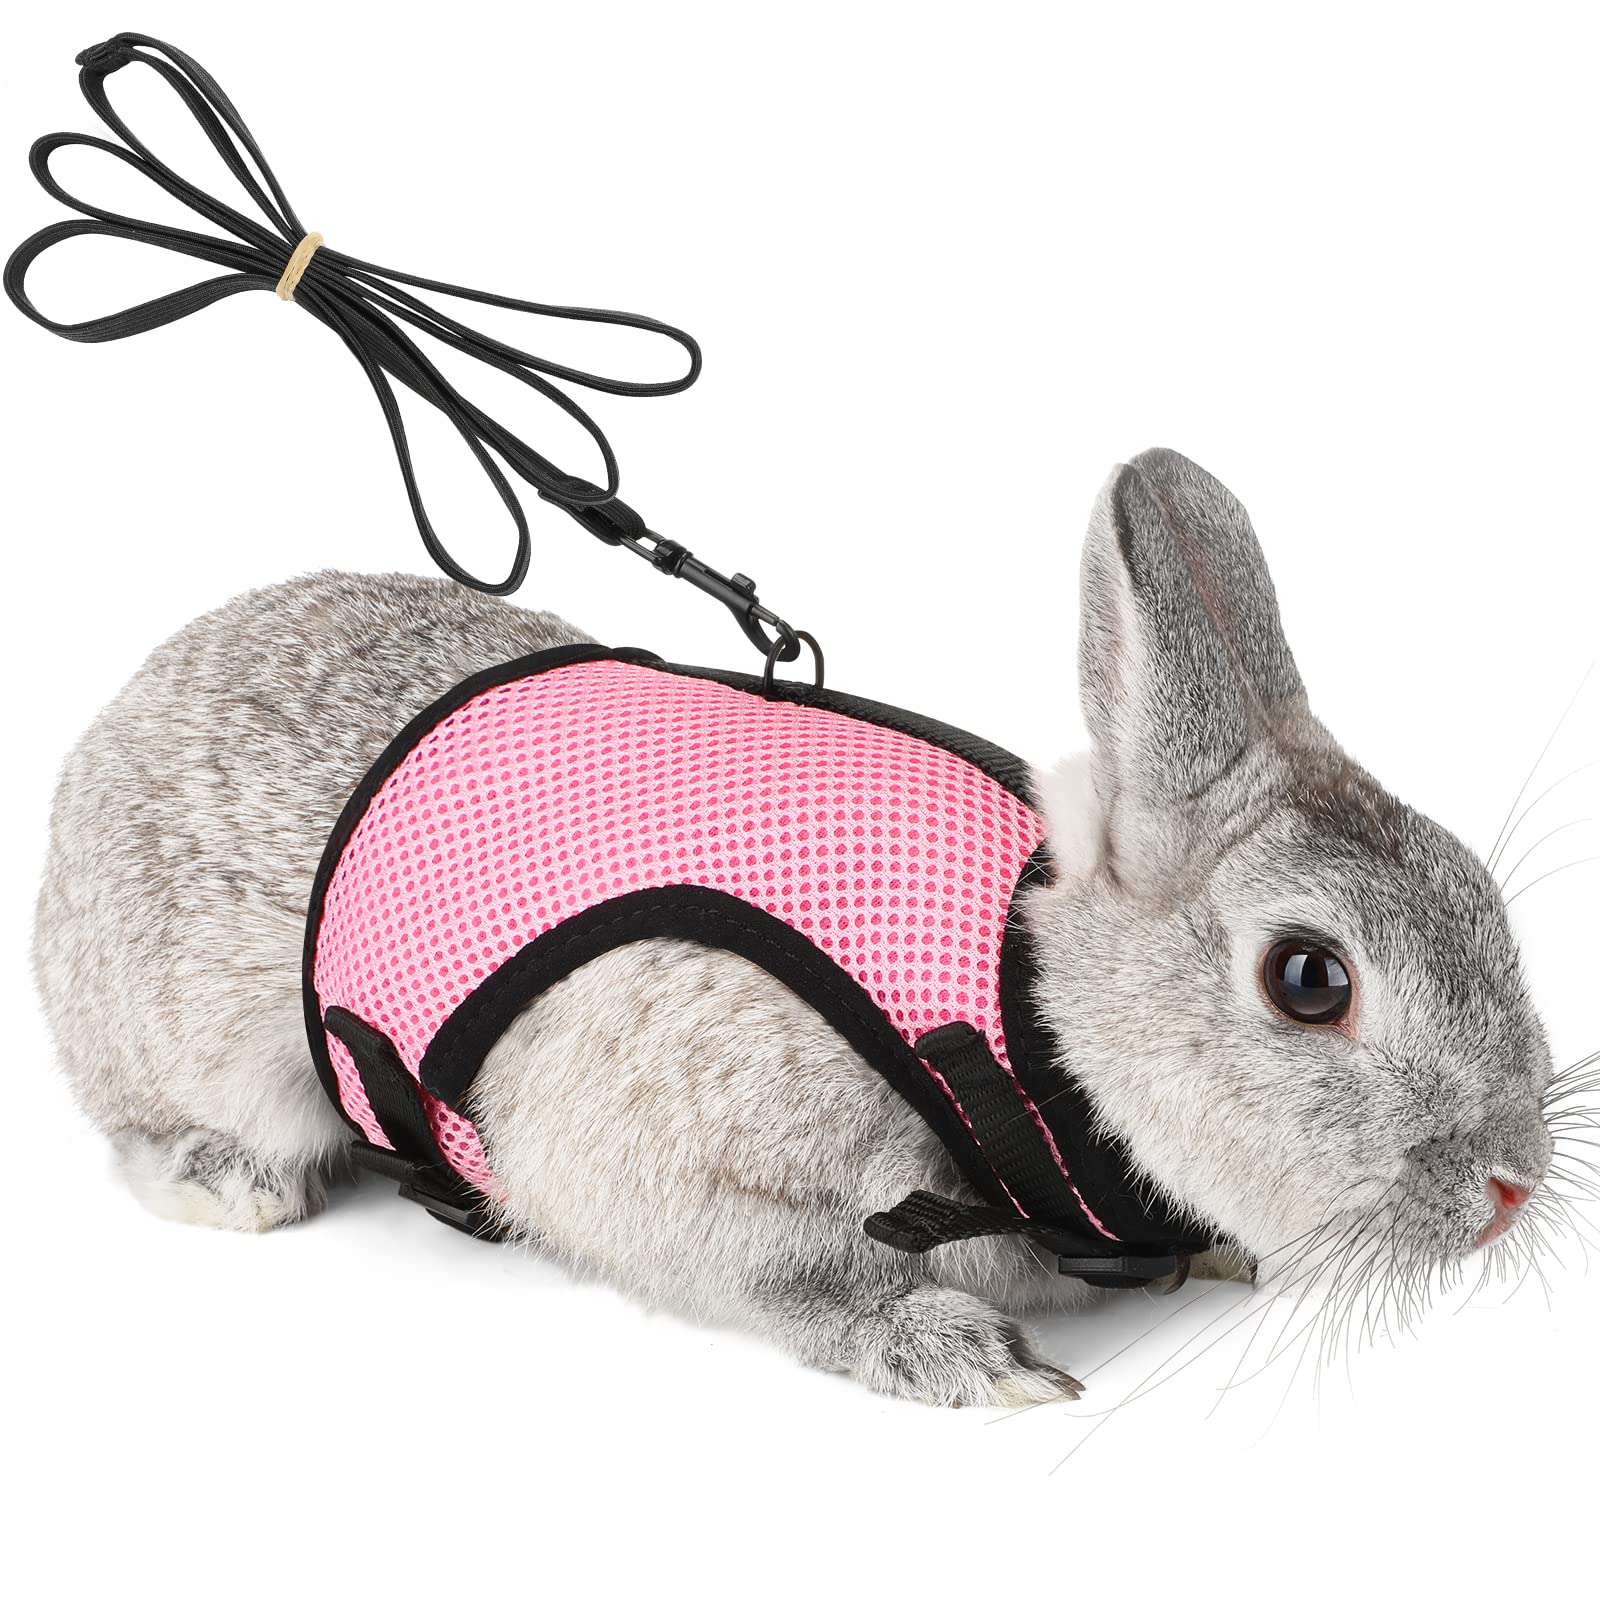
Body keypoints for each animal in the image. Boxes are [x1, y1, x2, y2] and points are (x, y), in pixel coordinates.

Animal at [32, 447, 1555, 1406]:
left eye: (1478, 900)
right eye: (1308, 978)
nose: (1512, 1186)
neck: (1024, 1013)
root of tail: (114, 721)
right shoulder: (659, 1155)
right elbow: (785, 1273)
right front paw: (966, 1360)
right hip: (214, 1046)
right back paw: (229, 1181)